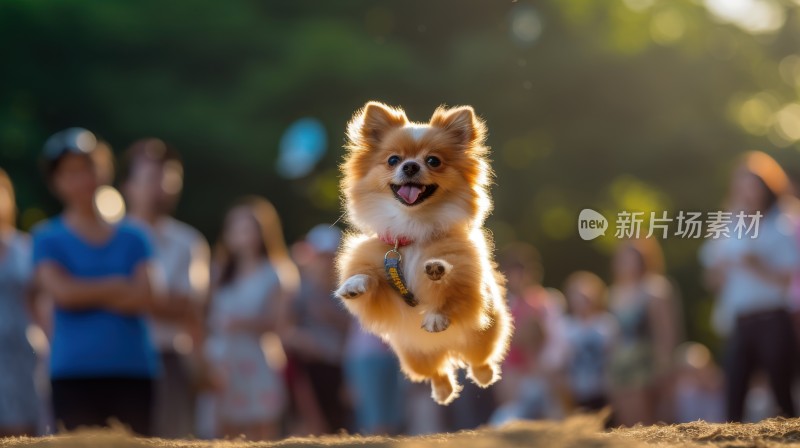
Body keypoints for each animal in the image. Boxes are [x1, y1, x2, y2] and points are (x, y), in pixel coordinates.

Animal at [332, 102, 510, 406]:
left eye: (433, 161)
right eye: (393, 160)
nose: (411, 165)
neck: (412, 230)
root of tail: (446, 349)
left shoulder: (469, 281)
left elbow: (453, 288)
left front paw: (437, 276)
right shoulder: (386, 294)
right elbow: (368, 279)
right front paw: (354, 284)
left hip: (482, 336)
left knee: (480, 360)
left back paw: (483, 375)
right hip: (415, 356)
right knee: (437, 373)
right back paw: (443, 391)